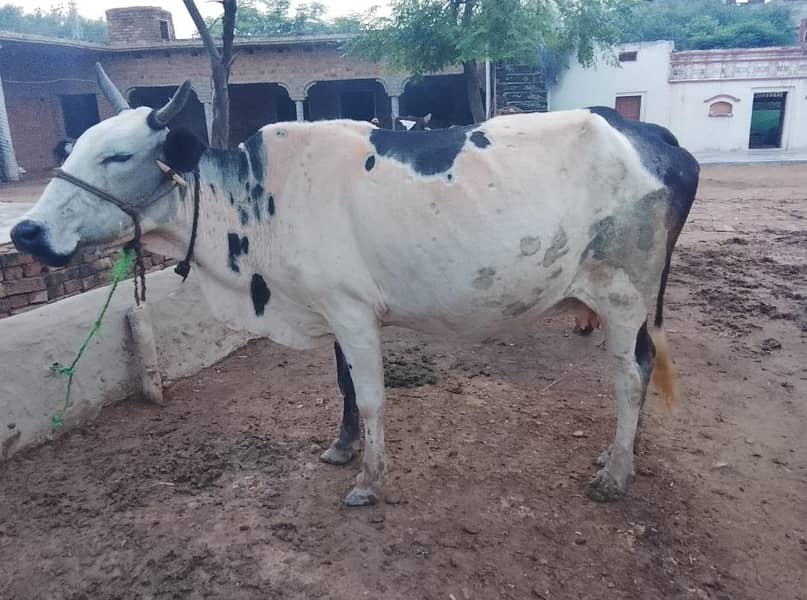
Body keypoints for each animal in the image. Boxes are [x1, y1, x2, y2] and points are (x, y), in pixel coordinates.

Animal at [11, 65, 699, 506]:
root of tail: (655, 137)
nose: (25, 231)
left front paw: (369, 480)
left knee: (631, 374)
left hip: (622, 296)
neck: (256, 201)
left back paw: (614, 474)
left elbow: (369, 396)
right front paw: (342, 450)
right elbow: (342, 384)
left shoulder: (352, 310)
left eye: (118, 156)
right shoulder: (332, 307)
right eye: (73, 149)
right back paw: (624, 456)